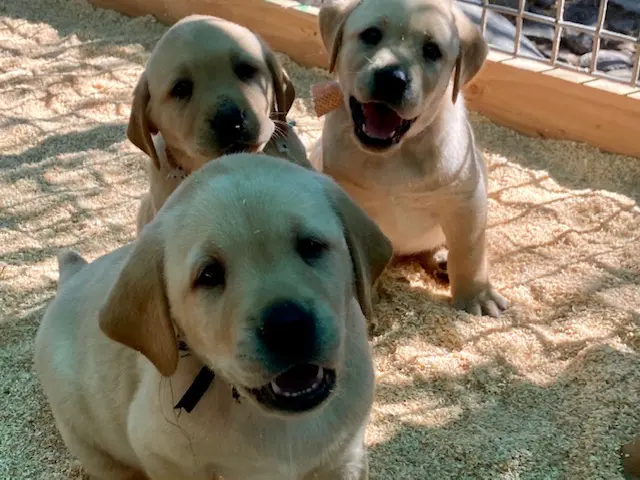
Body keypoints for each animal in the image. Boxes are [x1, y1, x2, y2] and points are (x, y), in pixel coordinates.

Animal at [37, 155, 392, 480]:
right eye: (209, 275)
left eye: (311, 246)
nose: (287, 327)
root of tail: (72, 275)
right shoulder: (161, 454)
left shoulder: (345, 457)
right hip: (88, 443)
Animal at [316, 0, 510, 318]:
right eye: (371, 35)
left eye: (432, 51)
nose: (391, 79)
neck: (396, 155)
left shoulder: (467, 199)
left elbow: (469, 251)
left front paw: (477, 296)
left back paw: (442, 260)